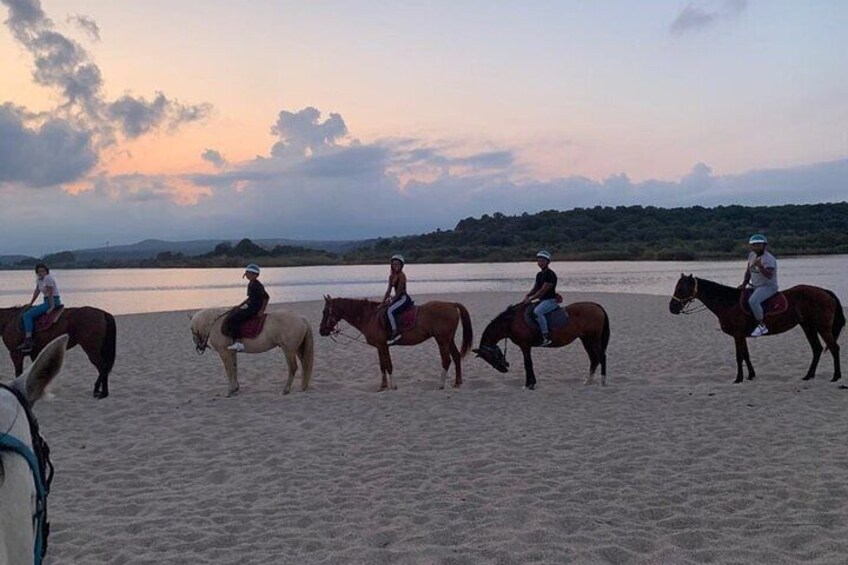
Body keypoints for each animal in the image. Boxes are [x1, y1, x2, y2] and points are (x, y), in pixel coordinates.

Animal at [320, 296, 474, 392]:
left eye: (325, 311)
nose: (321, 331)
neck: (370, 316)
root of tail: (451, 304)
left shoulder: (383, 345)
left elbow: (388, 365)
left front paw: (393, 386)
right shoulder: (380, 346)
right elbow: (382, 366)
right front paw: (383, 386)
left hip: (442, 341)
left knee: (446, 360)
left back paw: (441, 385)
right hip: (448, 340)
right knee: (456, 357)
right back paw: (457, 382)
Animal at [476, 302, 608, 390]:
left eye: (489, 357)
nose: (503, 369)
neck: (512, 321)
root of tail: (596, 306)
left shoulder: (525, 346)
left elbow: (528, 364)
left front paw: (529, 385)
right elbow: (528, 364)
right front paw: (530, 383)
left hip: (594, 339)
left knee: (601, 357)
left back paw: (603, 382)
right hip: (586, 339)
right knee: (594, 359)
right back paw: (588, 381)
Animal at [668, 274, 840, 384]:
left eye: (681, 289)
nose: (672, 308)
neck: (729, 302)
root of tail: (825, 292)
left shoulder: (738, 335)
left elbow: (739, 356)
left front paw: (738, 378)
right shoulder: (741, 335)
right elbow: (746, 355)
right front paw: (751, 375)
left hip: (822, 327)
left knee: (833, 348)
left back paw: (836, 376)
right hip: (808, 327)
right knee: (817, 349)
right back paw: (809, 375)